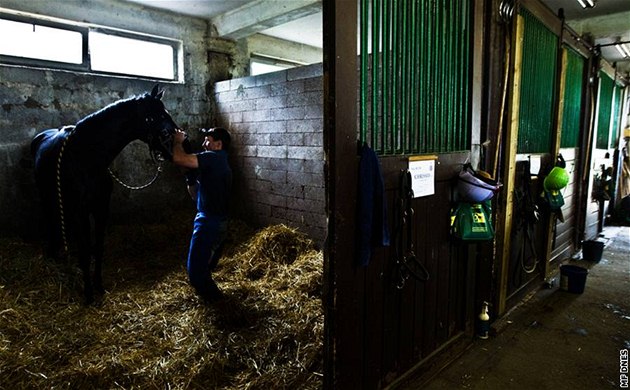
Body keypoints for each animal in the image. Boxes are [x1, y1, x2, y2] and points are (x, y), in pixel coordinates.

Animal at [32, 85, 180, 304]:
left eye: (167, 113)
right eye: (155, 116)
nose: (179, 145)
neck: (86, 158)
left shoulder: (101, 208)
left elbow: (98, 248)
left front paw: (99, 286)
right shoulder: (80, 212)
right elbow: (85, 251)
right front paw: (88, 294)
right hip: (47, 196)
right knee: (51, 220)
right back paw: (52, 253)